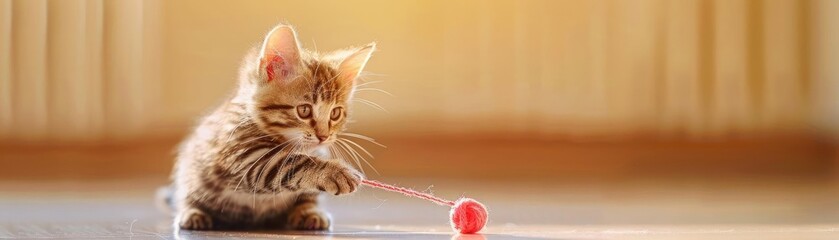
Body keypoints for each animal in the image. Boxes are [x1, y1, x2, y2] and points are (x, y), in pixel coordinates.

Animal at [159, 23, 376, 231]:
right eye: (304, 110)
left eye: (335, 113)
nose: (323, 136)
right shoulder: (245, 157)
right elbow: (293, 162)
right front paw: (335, 173)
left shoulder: (317, 151)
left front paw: (309, 205)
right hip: (191, 172)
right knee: (186, 193)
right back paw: (192, 212)